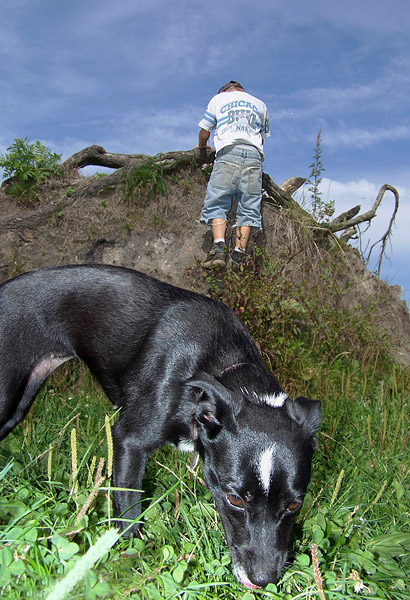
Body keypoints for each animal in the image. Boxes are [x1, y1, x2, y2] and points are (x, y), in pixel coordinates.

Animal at [0, 264, 320, 588]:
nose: (264, 580)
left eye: (294, 505)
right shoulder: (129, 441)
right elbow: (129, 509)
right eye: (234, 499)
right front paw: (132, 555)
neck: (220, 367)